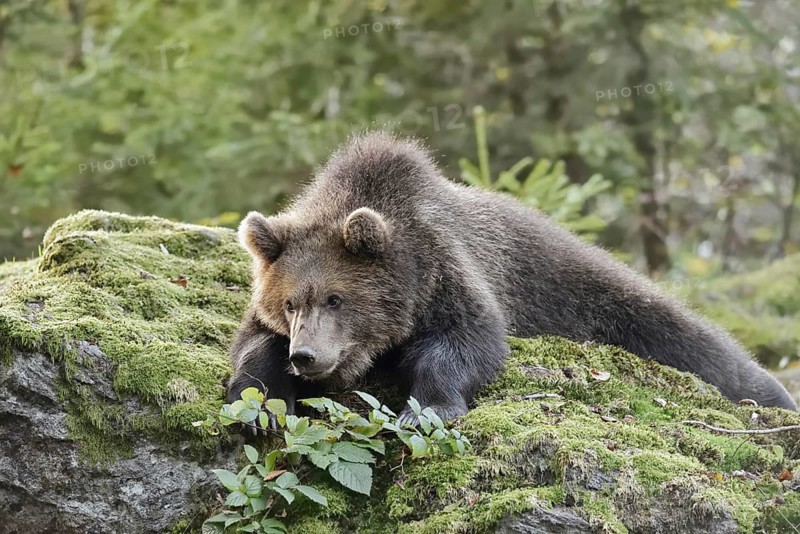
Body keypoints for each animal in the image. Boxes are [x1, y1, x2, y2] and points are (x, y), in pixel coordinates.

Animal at [227, 131, 797, 427]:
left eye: (336, 298)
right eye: (291, 303)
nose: (307, 355)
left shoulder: (448, 272)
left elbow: (467, 342)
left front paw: (426, 409)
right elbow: (253, 347)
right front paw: (259, 406)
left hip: (586, 287)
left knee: (689, 337)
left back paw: (774, 395)